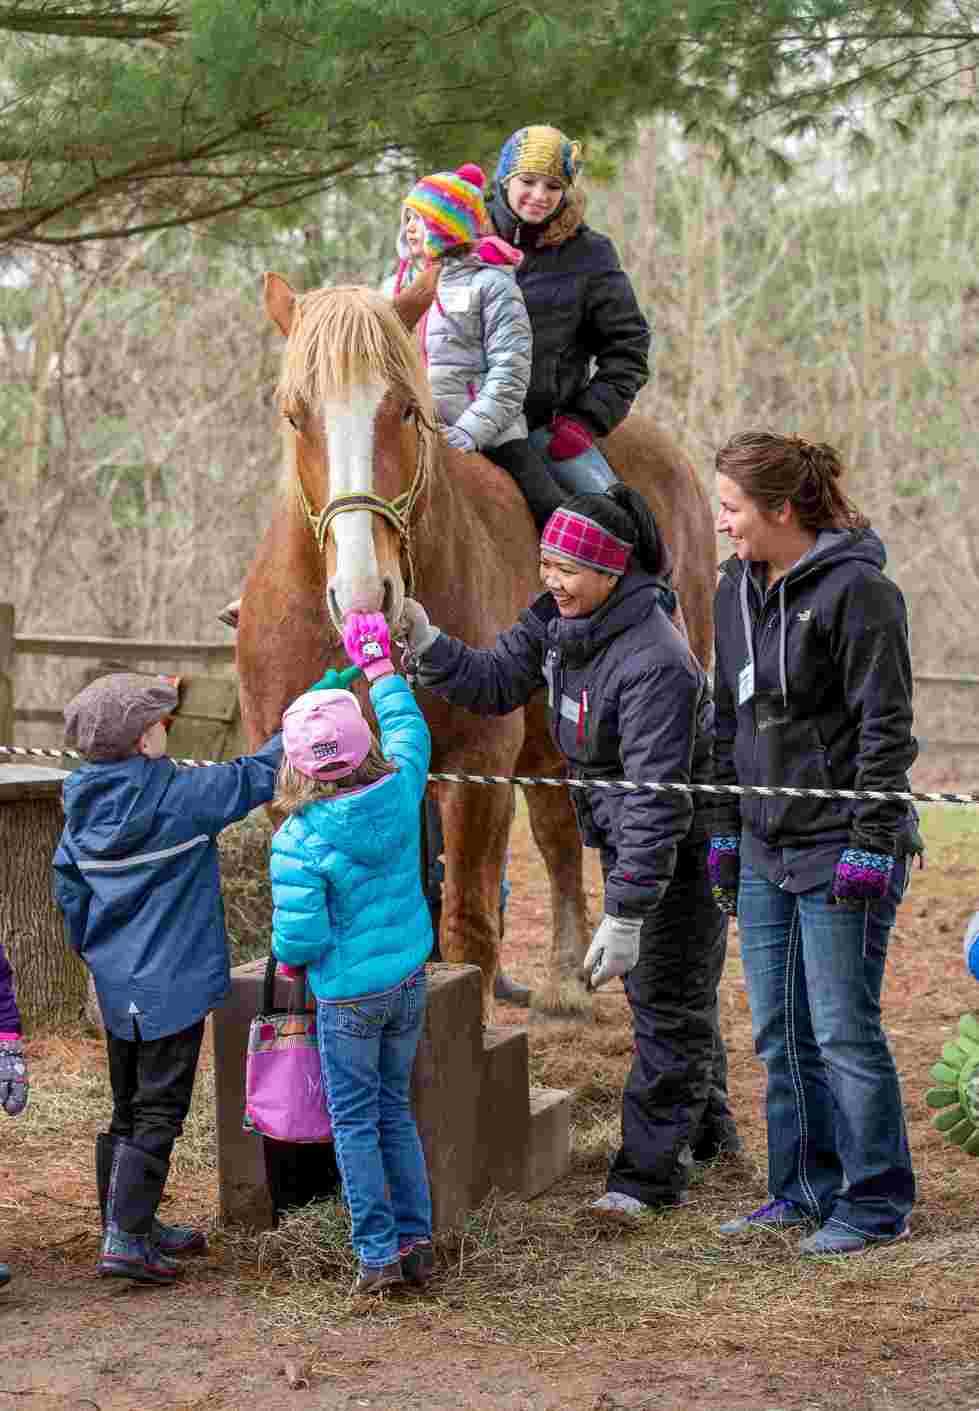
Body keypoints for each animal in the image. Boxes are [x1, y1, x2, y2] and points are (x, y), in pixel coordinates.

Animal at [235, 271, 716, 1016]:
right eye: (294, 415)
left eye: (406, 411)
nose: (365, 592)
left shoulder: (475, 772)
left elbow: (467, 926)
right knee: (556, 825)